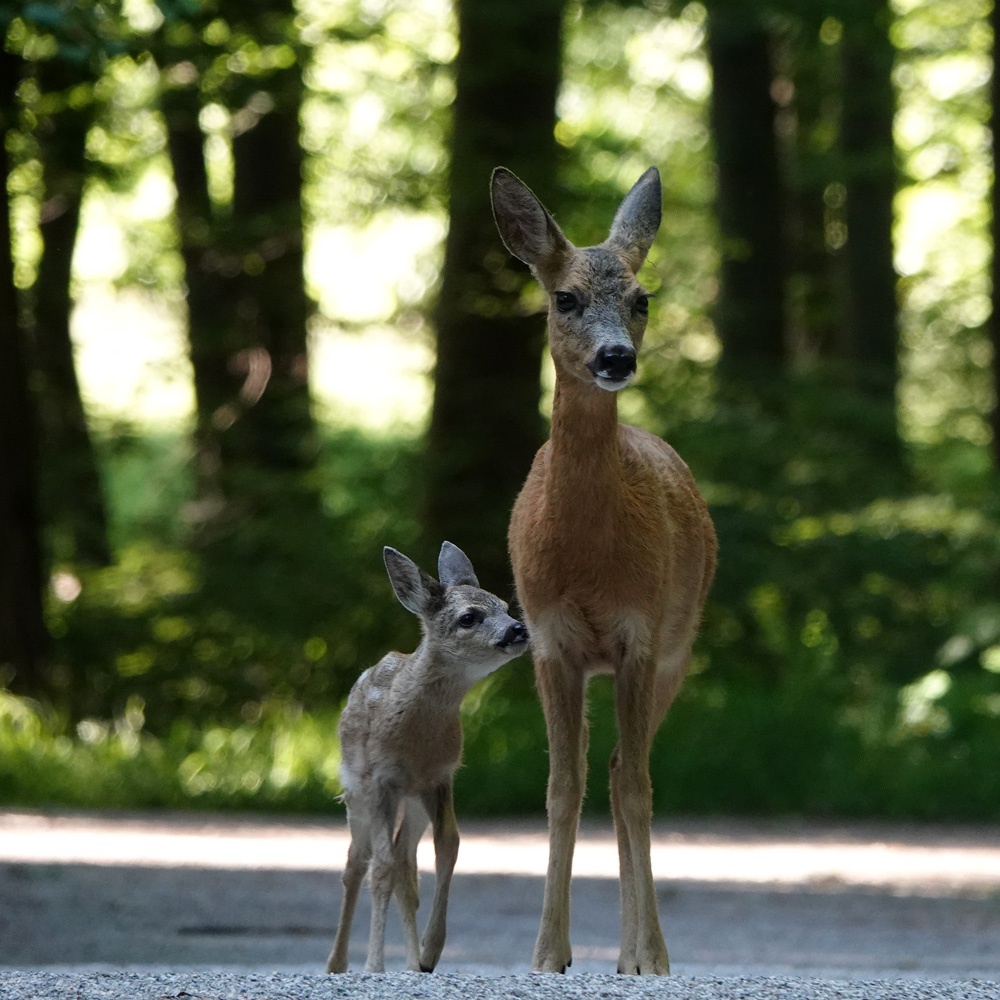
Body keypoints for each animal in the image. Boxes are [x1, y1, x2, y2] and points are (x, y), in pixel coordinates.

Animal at [328, 544, 532, 972]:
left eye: (506, 606)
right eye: (469, 617)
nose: (518, 629)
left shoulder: (440, 777)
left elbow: (448, 846)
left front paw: (430, 952)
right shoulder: (382, 779)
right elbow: (380, 868)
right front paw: (374, 966)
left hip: (412, 802)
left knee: (406, 865)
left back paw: (411, 962)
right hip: (356, 791)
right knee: (357, 863)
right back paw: (337, 963)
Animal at [488, 168, 716, 972]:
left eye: (642, 298)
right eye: (564, 298)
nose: (616, 358)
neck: (586, 557)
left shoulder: (639, 633)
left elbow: (635, 787)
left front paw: (646, 957)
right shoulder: (549, 639)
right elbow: (562, 786)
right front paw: (547, 953)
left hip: (679, 646)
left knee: (628, 774)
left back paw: (638, 951)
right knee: (608, 771)